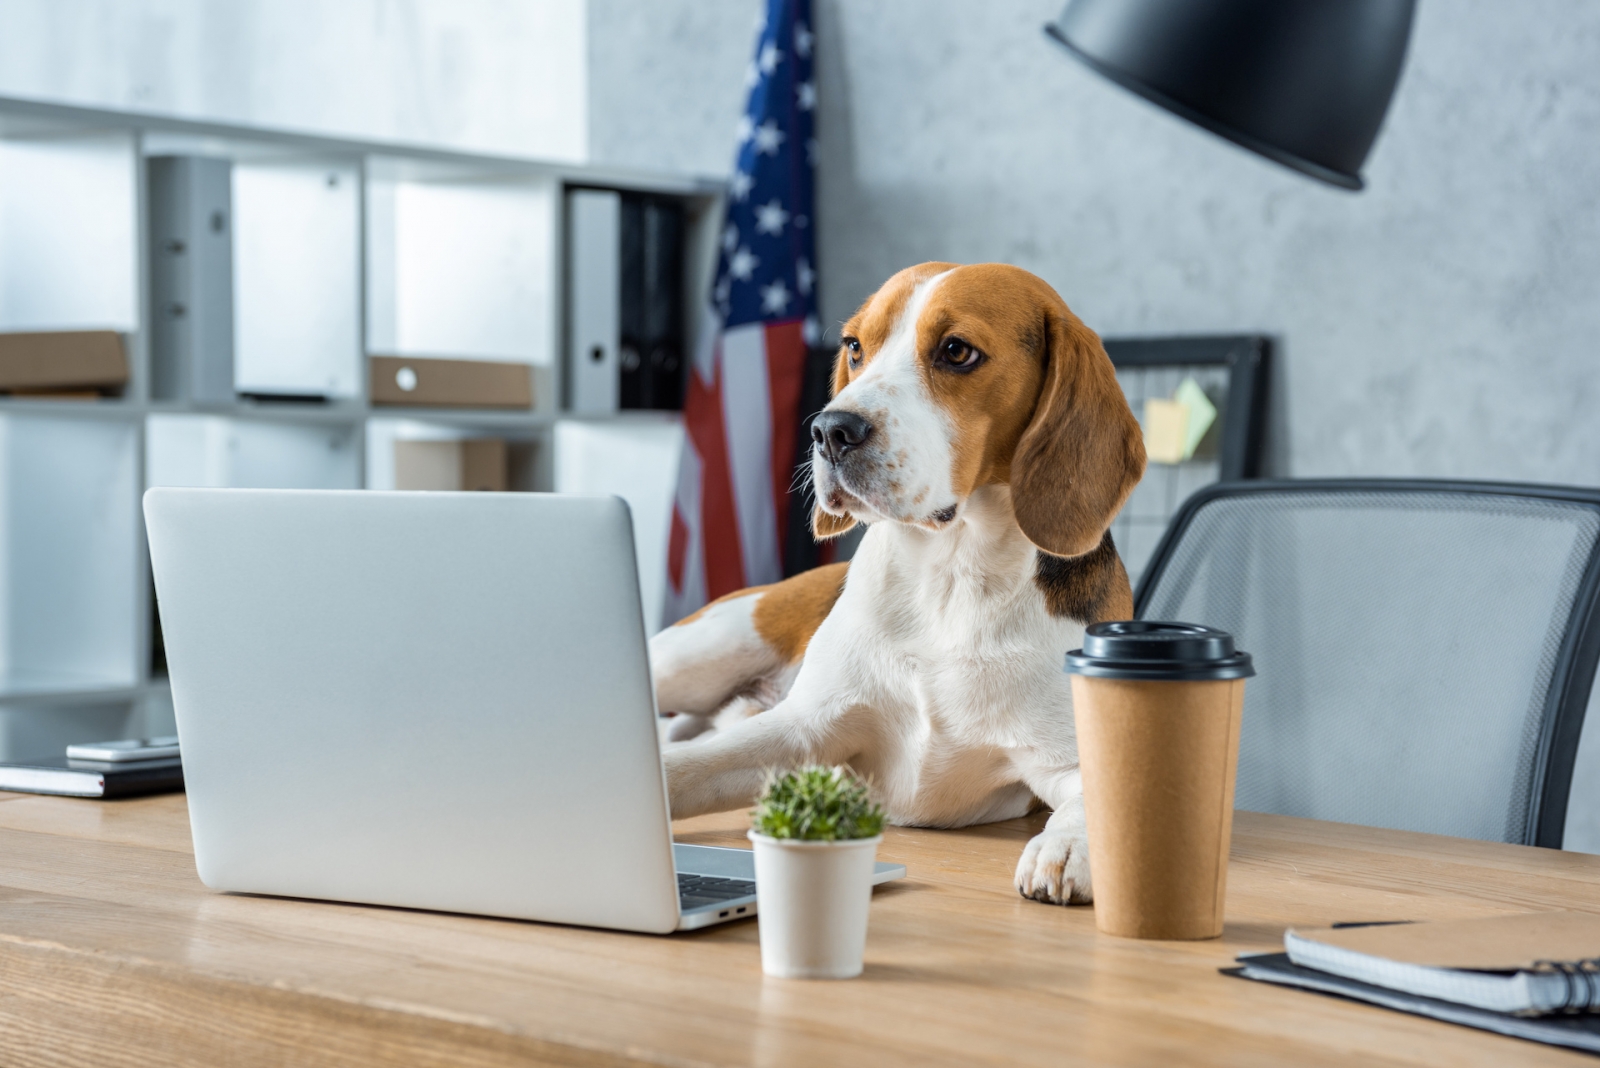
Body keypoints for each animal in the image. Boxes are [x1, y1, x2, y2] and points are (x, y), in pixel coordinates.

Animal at [652, 260, 1152, 901]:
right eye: (855, 347)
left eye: (957, 351)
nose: (829, 430)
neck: (950, 578)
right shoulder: (802, 730)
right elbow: (685, 768)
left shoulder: (1069, 757)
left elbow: (1095, 802)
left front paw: (1068, 845)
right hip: (698, 653)